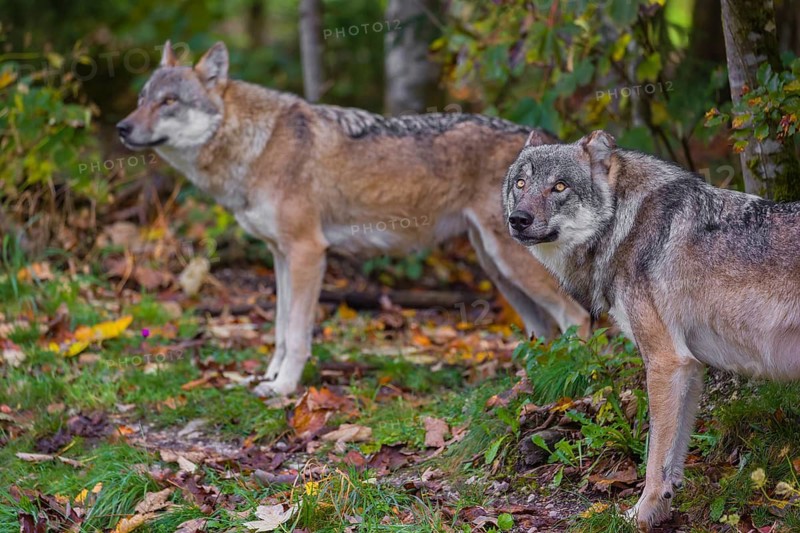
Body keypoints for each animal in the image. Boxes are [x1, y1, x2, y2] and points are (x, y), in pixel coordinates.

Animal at [116, 41, 591, 396]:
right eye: (141, 100)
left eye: (169, 102)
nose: (122, 128)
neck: (258, 146)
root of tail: (550, 142)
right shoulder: (281, 256)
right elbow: (280, 329)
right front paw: (267, 377)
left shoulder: (308, 252)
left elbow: (298, 334)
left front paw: (284, 389)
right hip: (498, 268)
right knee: (545, 329)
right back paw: (524, 384)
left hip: (512, 264)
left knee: (578, 318)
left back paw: (575, 380)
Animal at [503, 129, 800, 529]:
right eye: (521, 183)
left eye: (559, 187)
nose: (518, 218)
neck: (623, 226)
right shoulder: (690, 367)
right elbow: (673, 460)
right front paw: (659, 512)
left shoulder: (665, 362)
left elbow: (654, 459)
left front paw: (637, 517)